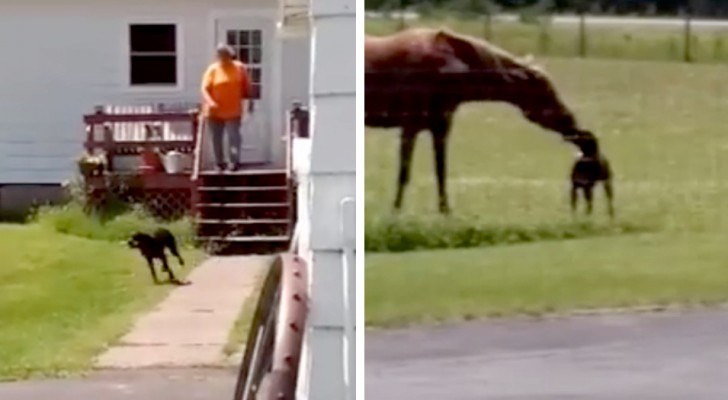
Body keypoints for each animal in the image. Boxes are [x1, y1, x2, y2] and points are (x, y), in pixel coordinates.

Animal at [366, 27, 596, 216]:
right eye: (545, 93)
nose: (571, 121)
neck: (447, 68)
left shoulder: (441, 127)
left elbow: (441, 172)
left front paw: (445, 212)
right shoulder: (410, 127)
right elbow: (404, 174)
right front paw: (395, 213)